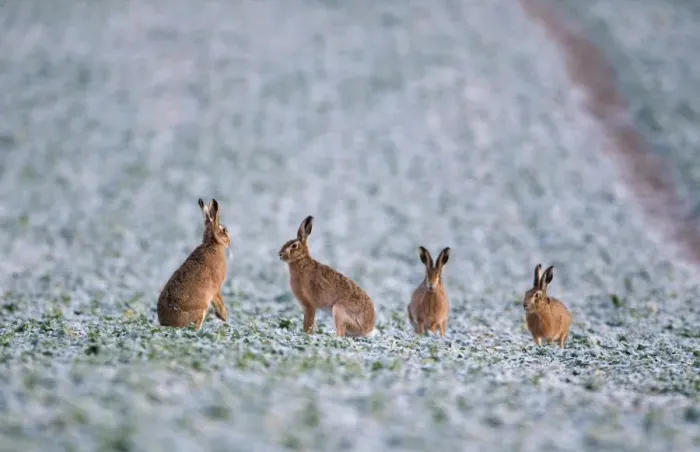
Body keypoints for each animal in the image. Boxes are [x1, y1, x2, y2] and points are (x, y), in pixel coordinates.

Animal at [157, 198, 231, 330]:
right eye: (224, 230)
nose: (230, 241)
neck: (212, 242)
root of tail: (168, 324)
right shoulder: (216, 288)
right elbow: (219, 302)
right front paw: (224, 317)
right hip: (201, 309)